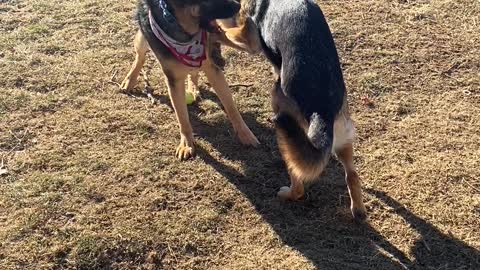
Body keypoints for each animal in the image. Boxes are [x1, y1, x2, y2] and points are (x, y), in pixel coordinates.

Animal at [122, 0, 260, 160]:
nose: (238, 6)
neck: (186, 34)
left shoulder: (212, 67)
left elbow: (231, 107)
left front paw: (246, 135)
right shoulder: (174, 80)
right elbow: (182, 117)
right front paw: (187, 144)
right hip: (143, 39)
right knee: (140, 56)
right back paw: (129, 80)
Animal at [221, 0, 368, 220]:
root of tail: (321, 109)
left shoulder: (251, 37)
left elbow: (234, 31)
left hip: (284, 126)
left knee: (298, 182)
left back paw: (287, 194)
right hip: (344, 137)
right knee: (352, 174)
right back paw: (358, 211)